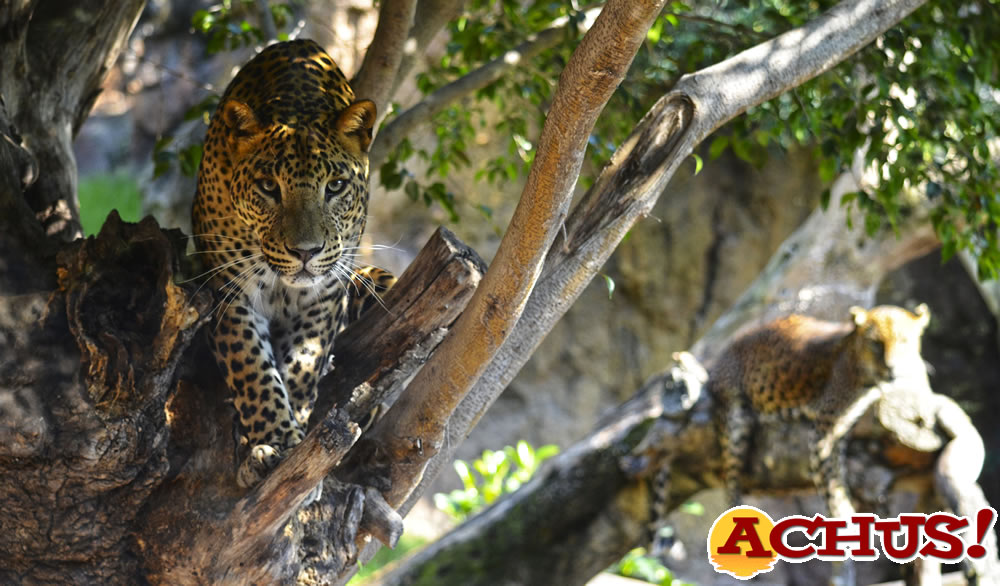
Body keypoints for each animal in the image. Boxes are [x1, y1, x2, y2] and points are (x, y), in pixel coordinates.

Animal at [191, 38, 394, 490]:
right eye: (269, 187)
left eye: (335, 186)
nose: (306, 252)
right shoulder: (227, 290)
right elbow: (251, 365)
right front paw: (274, 441)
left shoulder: (327, 292)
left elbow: (305, 360)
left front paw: (293, 434)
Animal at [708, 304, 932, 512]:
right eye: (876, 343)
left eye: (904, 341)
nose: (892, 367)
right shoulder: (825, 428)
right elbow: (831, 483)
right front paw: (844, 516)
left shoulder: (843, 426)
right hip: (735, 422)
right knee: (731, 477)